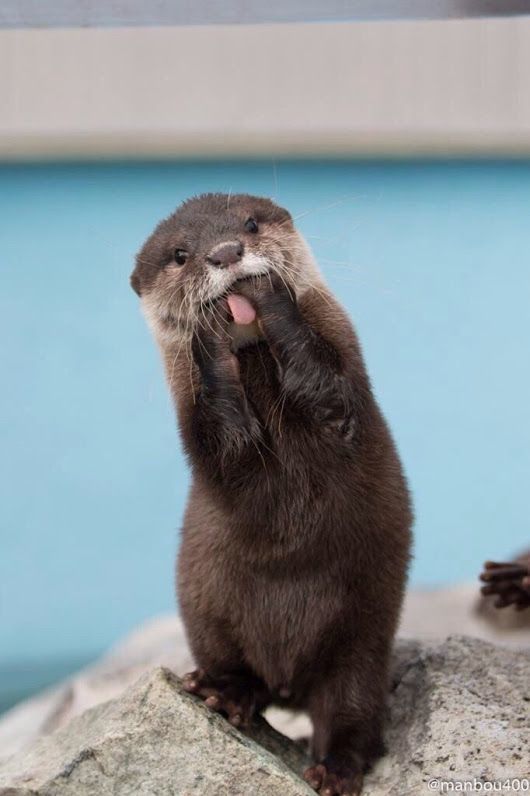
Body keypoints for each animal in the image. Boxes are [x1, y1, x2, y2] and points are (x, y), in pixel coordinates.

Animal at [130, 194, 410, 796]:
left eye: (251, 223)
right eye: (180, 254)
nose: (225, 252)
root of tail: (288, 684)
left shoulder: (343, 381)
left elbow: (328, 390)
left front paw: (268, 293)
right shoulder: (204, 431)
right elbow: (226, 442)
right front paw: (208, 331)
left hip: (361, 647)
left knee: (352, 714)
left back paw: (334, 769)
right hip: (207, 614)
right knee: (236, 669)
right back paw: (225, 693)